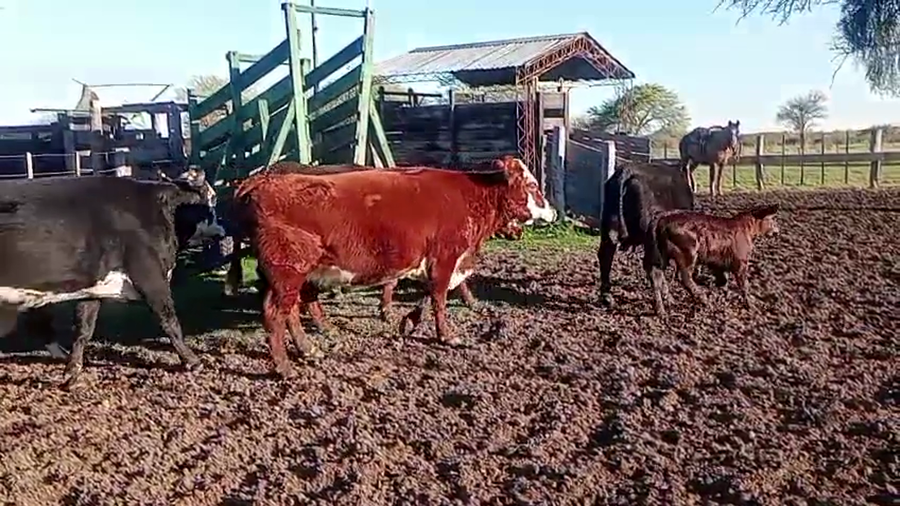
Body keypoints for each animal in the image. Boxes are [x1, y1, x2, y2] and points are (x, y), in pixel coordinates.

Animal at [0, 168, 225, 388]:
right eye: (212, 198)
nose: (224, 229)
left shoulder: (93, 287)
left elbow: (83, 329)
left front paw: (72, 372)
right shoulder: (150, 276)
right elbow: (170, 322)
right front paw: (193, 362)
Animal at [234, 155, 556, 378]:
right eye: (533, 185)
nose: (553, 212)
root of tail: (263, 180)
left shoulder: (432, 260)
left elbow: (429, 293)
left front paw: (408, 321)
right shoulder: (446, 256)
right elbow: (439, 297)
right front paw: (446, 335)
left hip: (294, 275)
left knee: (291, 312)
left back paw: (309, 349)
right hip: (288, 270)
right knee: (275, 314)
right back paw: (285, 367)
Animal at [597, 160, 695, 309]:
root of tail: (626, 171)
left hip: (608, 229)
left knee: (605, 256)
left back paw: (607, 297)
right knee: (653, 266)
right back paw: (663, 303)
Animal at [648, 203, 779, 316]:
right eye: (771, 219)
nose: (777, 231)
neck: (746, 228)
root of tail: (662, 220)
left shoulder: (719, 264)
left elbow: (723, 280)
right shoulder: (741, 262)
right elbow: (744, 285)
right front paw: (751, 305)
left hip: (661, 257)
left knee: (656, 276)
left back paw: (662, 309)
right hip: (688, 254)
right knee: (684, 278)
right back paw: (704, 301)